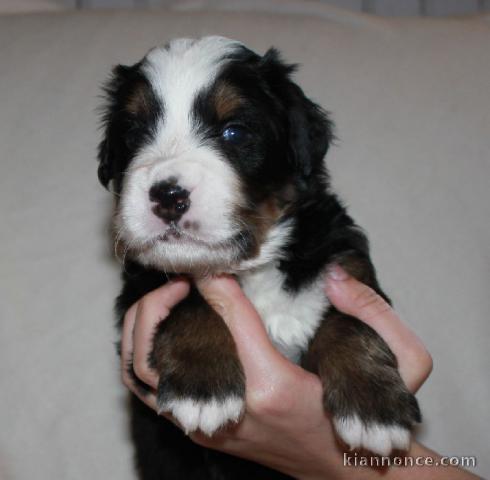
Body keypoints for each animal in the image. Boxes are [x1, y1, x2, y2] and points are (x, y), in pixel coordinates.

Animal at [96, 35, 422, 478]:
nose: (168, 195)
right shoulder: (139, 294)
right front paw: (203, 387)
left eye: (234, 131)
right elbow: (190, 298)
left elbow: (351, 320)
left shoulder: (343, 261)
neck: (252, 269)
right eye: (133, 132)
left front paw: (374, 408)